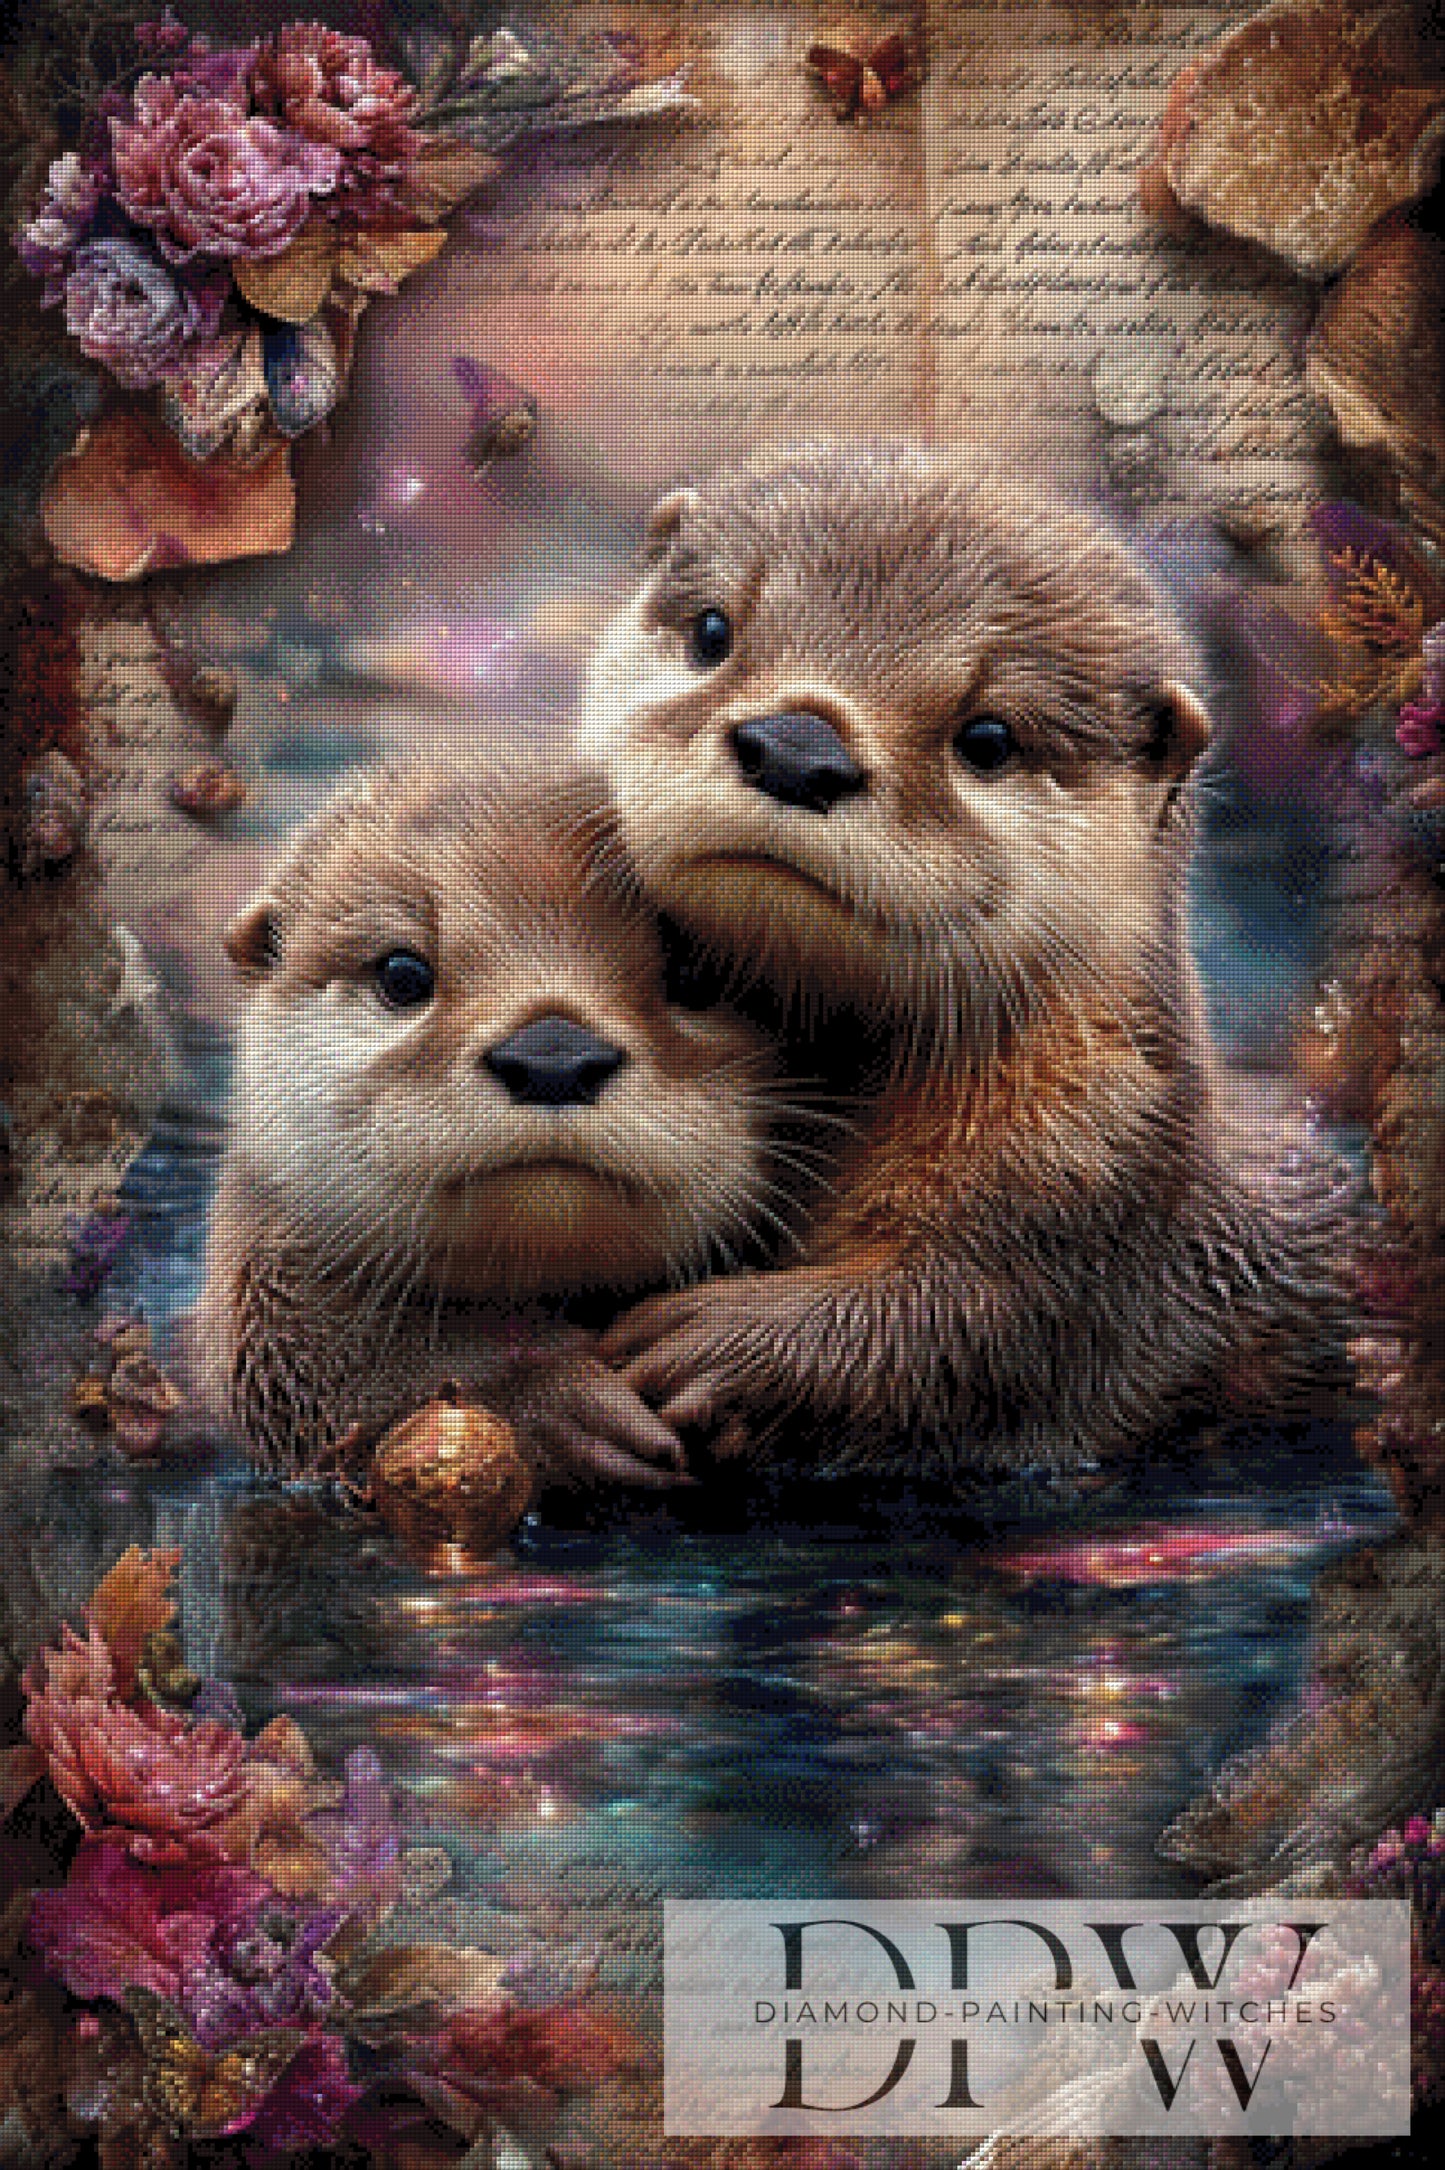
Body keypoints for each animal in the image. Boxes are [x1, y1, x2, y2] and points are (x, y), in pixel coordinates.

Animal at [579, 441, 1347, 1480]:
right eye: (712, 631)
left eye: (986, 736)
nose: (795, 746)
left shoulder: (1086, 1182)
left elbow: (973, 1327)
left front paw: (710, 1346)